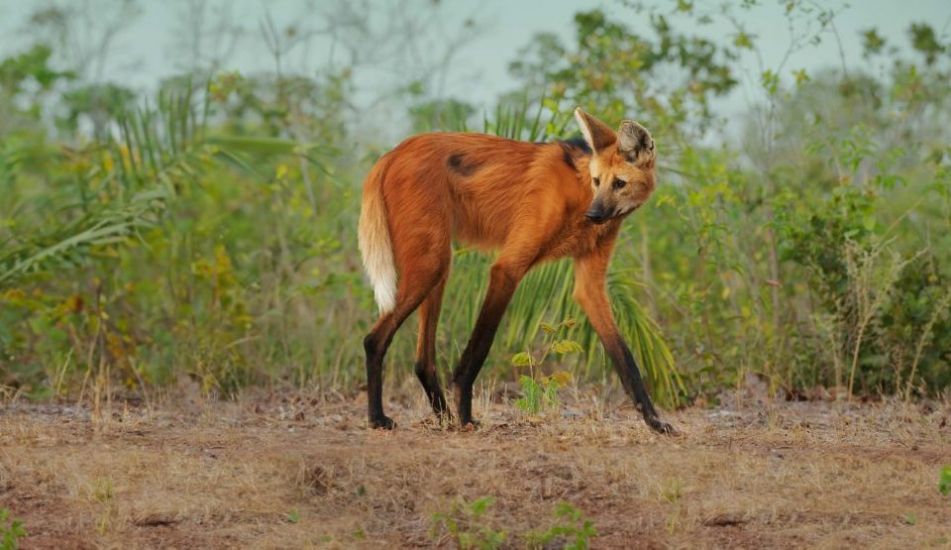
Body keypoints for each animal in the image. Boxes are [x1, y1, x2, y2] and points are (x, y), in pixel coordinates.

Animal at [358, 108, 676, 436]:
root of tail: (392, 153)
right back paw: (379, 417)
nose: (595, 214)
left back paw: (443, 418)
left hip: (438, 267)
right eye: (597, 181)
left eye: (619, 183)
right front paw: (466, 415)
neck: (578, 194)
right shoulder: (507, 268)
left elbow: (625, 357)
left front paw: (654, 421)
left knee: (423, 360)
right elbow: (481, 346)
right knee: (374, 340)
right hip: (430, 266)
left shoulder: (590, 285)